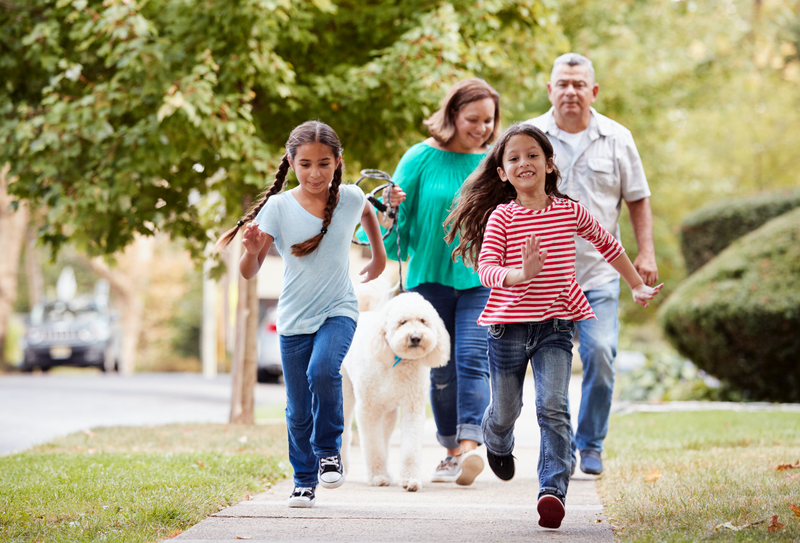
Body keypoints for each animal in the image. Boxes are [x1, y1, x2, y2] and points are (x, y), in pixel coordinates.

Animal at [340, 294, 446, 492]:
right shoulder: (368, 410)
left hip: (388, 411)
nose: (415, 337)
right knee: (344, 432)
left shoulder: (413, 408)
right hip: (345, 393)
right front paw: (377, 477)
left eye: (423, 321)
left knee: (385, 436)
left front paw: (410, 480)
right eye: (402, 322)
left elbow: (410, 448)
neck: (397, 360)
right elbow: (373, 446)